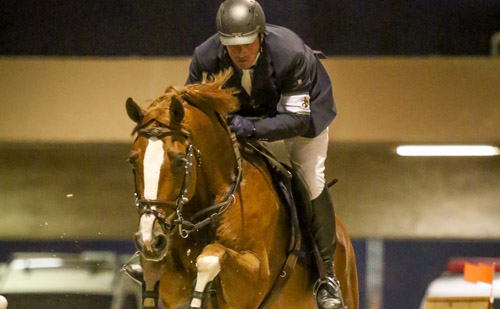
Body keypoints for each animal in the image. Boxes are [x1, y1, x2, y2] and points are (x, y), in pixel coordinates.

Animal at [125, 70, 360, 308]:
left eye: (180, 161)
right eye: (133, 162)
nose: (150, 240)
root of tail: (344, 237)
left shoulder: (255, 278)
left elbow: (210, 256)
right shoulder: (174, 286)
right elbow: (154, 269)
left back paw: (329, 292)